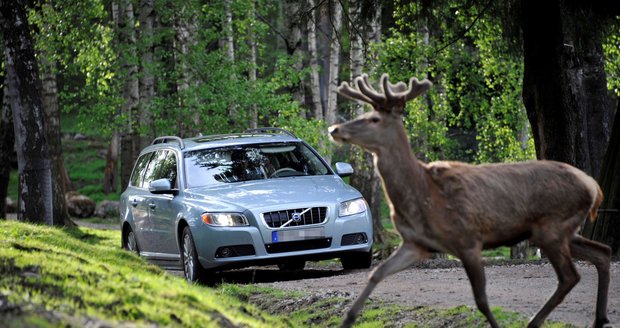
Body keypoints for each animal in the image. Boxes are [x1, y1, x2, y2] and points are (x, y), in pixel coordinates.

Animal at [330, 74, 612, 328]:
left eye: (374, 119)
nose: (334, 129)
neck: (423, 194)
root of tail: (594, 186)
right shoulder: (416, 243)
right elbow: (375, 274)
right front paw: (348, 319)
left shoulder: (467, 239)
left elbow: (481, 300)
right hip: (557, 231)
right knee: (602, 252)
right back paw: (598, 318)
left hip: (552, 226)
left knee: (570, 276)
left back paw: (537, 321)